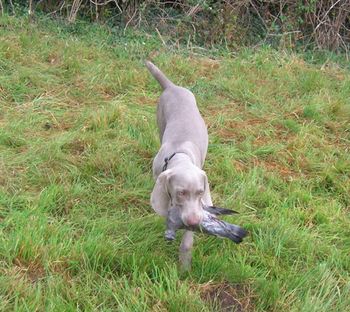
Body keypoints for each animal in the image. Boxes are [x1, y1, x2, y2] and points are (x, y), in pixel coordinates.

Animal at [146, 61, 212, 270]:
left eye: (201, 192)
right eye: (180, 192)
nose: (194, 221)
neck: (180, 154)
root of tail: (172, 86)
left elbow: (187, 242)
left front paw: (184, 266)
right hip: (160, 120)